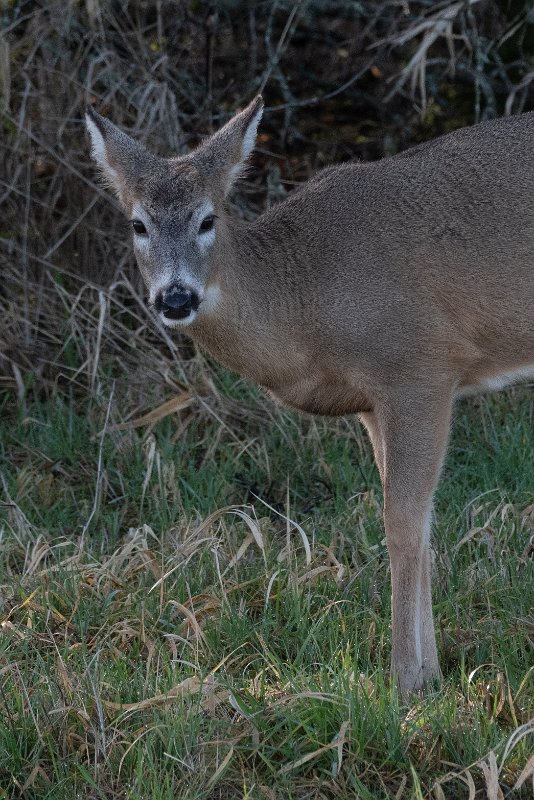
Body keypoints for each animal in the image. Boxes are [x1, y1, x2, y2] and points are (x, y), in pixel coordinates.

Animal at [86, 97, 534, 696]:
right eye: (138, 224)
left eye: (208, 219)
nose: (176, 297)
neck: (305, 303)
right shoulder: (369, 403)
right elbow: (422, 522)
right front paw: (432, 674)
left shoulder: (420, 365)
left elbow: (403, 523)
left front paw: (405, 683)